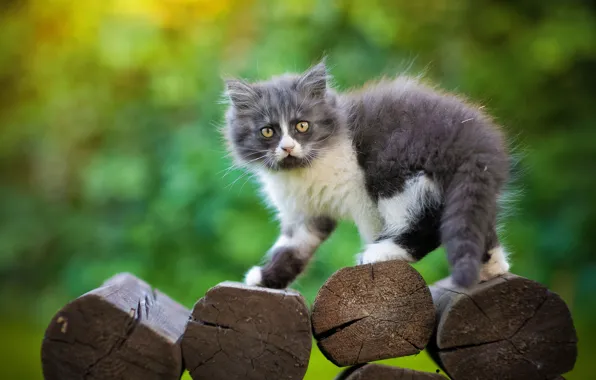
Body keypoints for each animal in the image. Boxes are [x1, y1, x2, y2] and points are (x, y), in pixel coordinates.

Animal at [221, 61, 510, 288]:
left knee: (428, 222)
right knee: (474, 221)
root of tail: (474, 139)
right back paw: (492, 268)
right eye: (267, 131)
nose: (288, 147)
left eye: (302, 126)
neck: (303, 171)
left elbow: (373, 228)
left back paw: (382, 251)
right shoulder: (305, 212)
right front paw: (266, 278)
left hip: (393, 173)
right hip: (464, 187)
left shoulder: (361, 197)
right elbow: (292, 247)